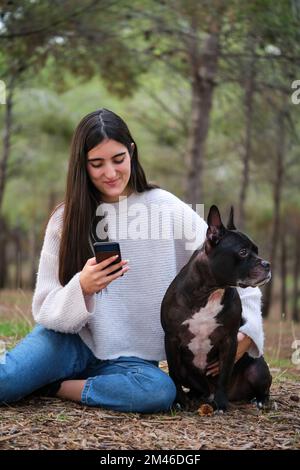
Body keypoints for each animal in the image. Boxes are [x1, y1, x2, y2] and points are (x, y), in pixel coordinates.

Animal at [162, 206, 272, 412]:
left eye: (257, 251)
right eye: (243, 252)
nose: (267, 264)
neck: (211, 292)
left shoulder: (229, 340)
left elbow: (223, 375)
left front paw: (221, 404)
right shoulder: (171, 339)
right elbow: (173, 374)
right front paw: (178, 401)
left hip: (258, 369)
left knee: (262, 386)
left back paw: (260, 400)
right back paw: (193, 396)